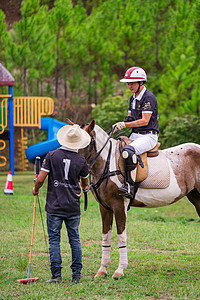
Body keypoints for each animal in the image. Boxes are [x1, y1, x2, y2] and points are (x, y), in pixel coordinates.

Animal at [77, 119, 200, 278]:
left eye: (85, 142)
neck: (107, 164)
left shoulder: (119, 205)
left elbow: (121, 236)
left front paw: (120, 270)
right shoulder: (104, 207)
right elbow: (106, 236)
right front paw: (102, 270)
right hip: (196, 197)